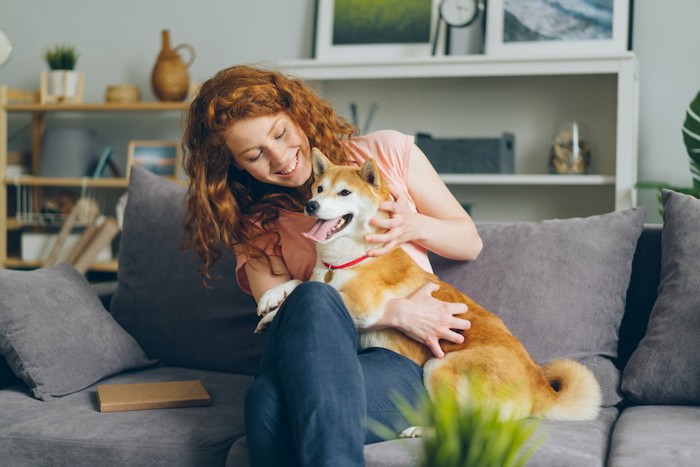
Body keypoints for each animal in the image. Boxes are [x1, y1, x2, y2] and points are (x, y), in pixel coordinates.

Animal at [258, 149, 600, 428]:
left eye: (344, 192)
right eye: (319, 189)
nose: (310, 205)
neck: (350, 258)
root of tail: (539, 387)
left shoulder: (361, 302)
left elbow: (311, 290)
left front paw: (276, 312)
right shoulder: (325, 276)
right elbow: (302, 281)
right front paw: (271, 298)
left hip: (438, 367)